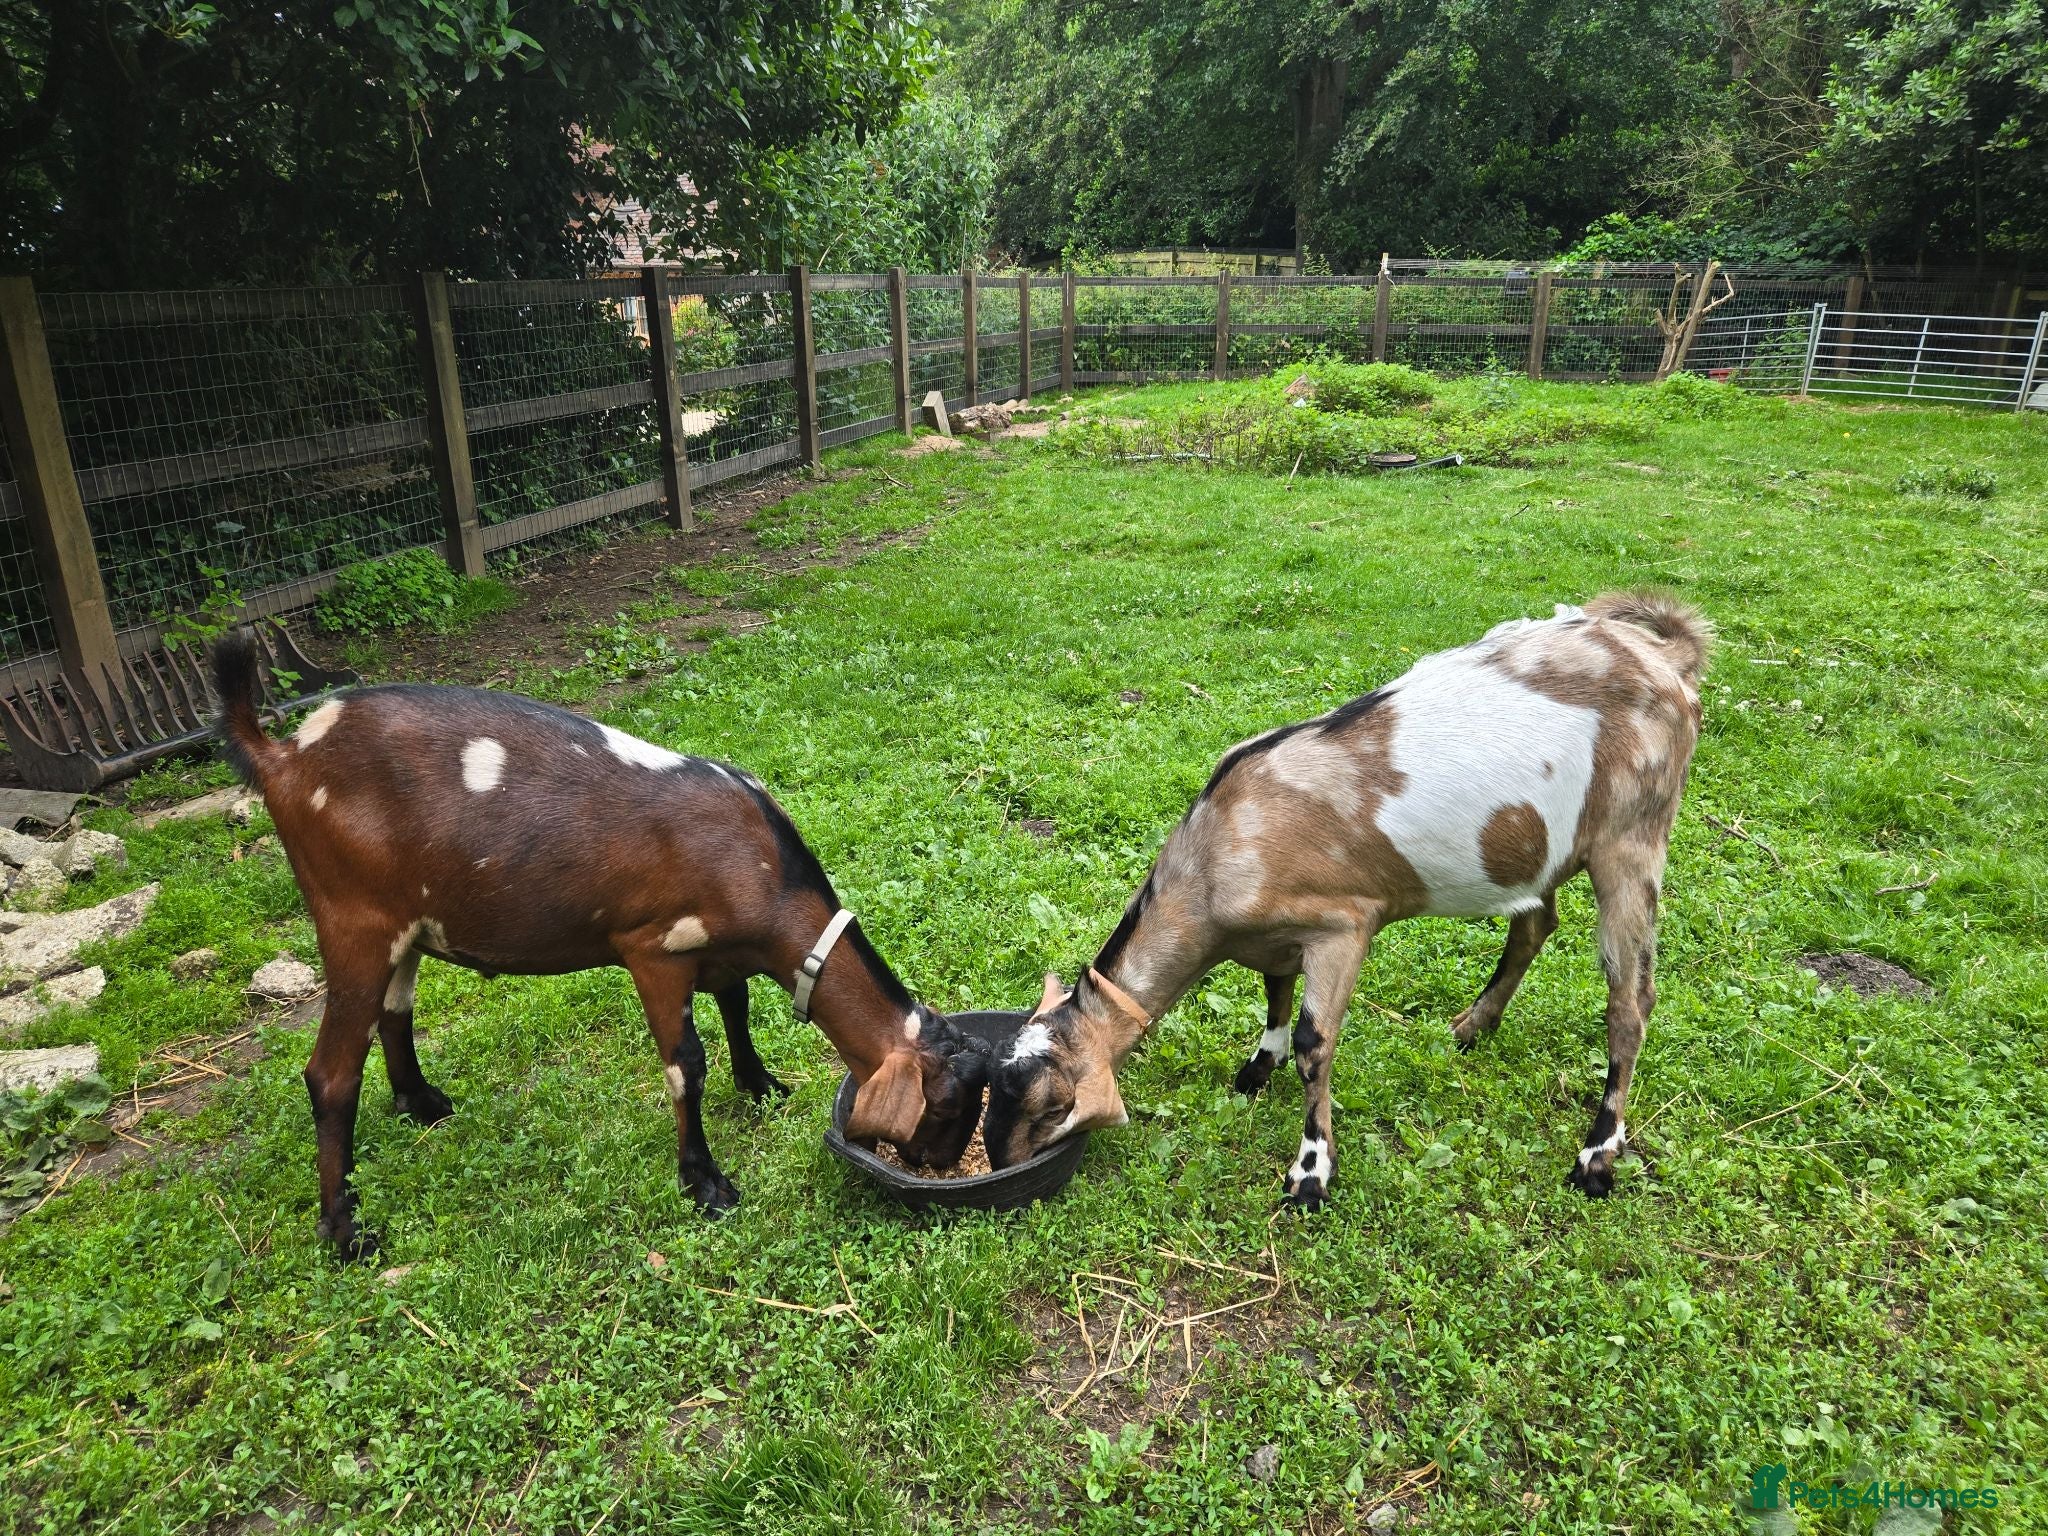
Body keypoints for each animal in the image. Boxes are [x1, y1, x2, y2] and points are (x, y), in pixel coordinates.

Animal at [211, 633, 987, 1258]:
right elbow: (685, 1065)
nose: (943, 1167)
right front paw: (705, 1182)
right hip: (352, 918)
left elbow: (736, 1008)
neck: (759, 865)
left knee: (394, 1010)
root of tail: (282, 755)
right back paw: (345, 1232)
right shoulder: (654, 951)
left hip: (405, 923)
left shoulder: (717, 952)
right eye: (947, 1106)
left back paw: (421, 1102)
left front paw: (762, 1084)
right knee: (331, 1075)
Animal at [984, 594, 1711, 1207]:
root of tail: (1661, 657)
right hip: (1544, 844)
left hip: (1633, 836)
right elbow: (1274, 994)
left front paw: (1310, 1173)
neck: (1221, 847)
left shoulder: (1344, 924)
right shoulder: (1279, 937)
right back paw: (1470, 1028)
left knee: (1630, 1001)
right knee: (1536, 924)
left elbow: (1314, 1041)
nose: (998, 1163)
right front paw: (1257, 1069)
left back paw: (1596, 1156)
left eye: (1050, 1105)